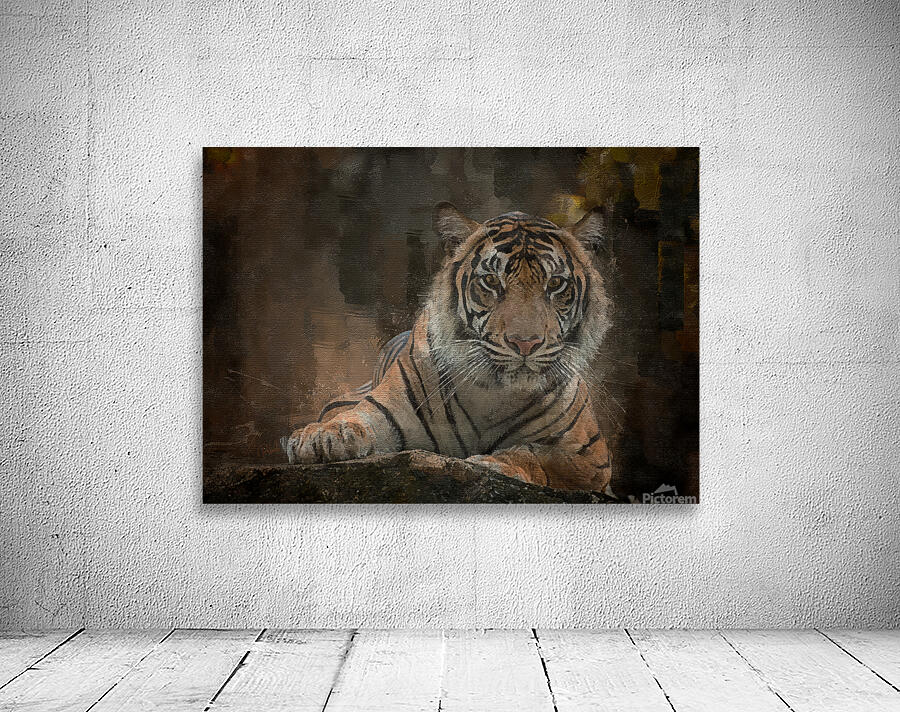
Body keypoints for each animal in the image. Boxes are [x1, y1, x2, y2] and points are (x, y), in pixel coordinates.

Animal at [285, 202, 613, 492]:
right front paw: (320, 437)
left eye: (556, 283)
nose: (525, 343)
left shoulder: (591, 456)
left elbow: (537, 453)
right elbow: (354, 419)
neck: (494, 394)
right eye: (491, 281)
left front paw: (493, 463)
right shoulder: (384, 410)